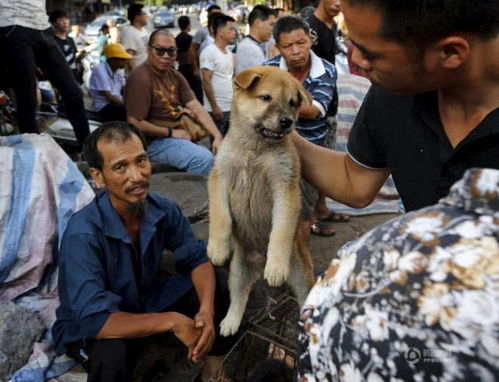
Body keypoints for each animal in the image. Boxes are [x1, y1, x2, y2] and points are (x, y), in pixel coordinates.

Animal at [208, 66, 316, 338]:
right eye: (265, 98)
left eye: (292, 103)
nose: (287, 121)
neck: (255, 150)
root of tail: (258, 263)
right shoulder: (220, 177)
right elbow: (221, 217)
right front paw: (217, 248)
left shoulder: (285, 187)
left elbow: (280, 231)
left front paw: (276, 266)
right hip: (237, 273)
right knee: (239, 297)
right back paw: (230, 322)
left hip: (300, 273)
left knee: (305, 298)